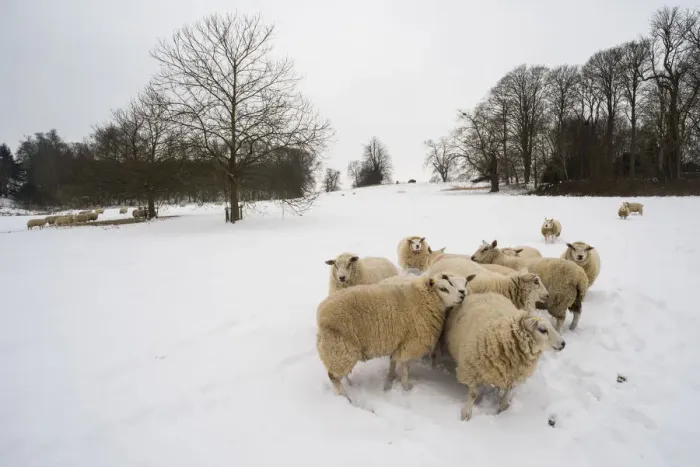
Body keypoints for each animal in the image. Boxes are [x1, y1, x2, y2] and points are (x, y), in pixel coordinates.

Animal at [316, 272, 474, 399]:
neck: (422, 300)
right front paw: (406, 388)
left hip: (338, 350)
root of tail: (320, 314)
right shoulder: (410, 344)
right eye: (443, 289)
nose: (462, 295)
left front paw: (390, 380)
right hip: (340, 348)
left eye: (461, 284)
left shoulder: (399, 342)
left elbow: (393, 362)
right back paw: (346, 398)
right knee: (333, 377)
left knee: (340, 373)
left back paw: (350, 384)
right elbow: (405, 368)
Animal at [443, 292, 565, 421]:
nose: (563, 344)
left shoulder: (514, 375)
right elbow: (473, 394)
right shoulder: (471, 370)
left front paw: (503, 409)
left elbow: (508, 394)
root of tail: (483, 293)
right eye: (542, 330)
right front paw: (466, 414)